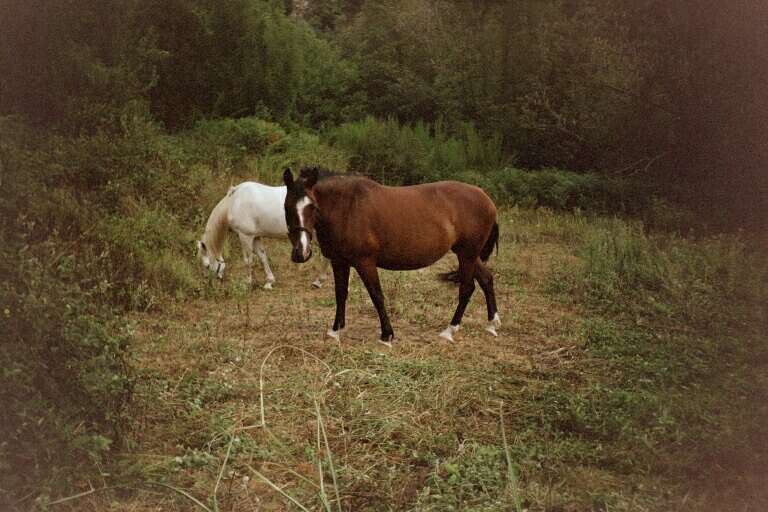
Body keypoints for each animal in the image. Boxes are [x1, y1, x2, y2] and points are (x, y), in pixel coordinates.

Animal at [196, 181, 327, 289]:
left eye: (206, 266)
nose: (208, 285)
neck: (234, 203)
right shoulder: (256, 237)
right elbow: (262, 257)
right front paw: (269, 282)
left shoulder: (245, 236)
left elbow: (248, 260)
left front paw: (247, 283)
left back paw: (318, 282)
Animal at [282, 167, 500, 345]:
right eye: (286, 207)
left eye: (312, 207)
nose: (301, 253)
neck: (347, 208)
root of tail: (487, 199)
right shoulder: (339, 262)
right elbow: (340, 294)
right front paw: (335, 331)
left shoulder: (365, 262)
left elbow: (376, 295)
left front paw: (387, 335)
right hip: (468, 254)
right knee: (486, 279)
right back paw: (492, 323)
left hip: (467, 254)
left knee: (467, 288)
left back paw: (449, 331)